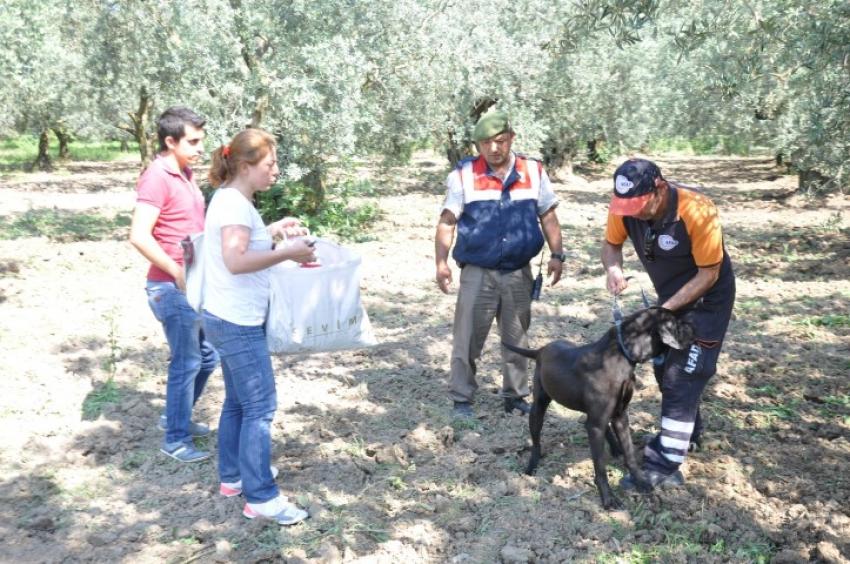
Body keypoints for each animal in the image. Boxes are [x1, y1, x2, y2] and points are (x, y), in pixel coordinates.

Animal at [504, 306, 688, 508]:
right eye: (677, 323)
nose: (693, 327)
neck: (621, 354)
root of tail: (541, 350)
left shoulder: (620, 416)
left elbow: (630, 454)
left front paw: (640, 481)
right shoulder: (596, 425)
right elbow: (599, 467)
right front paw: (608, 499)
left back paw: (615, 448)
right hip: (539, 408)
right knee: (536, 442)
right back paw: (531, 467)